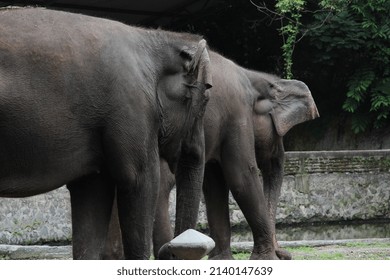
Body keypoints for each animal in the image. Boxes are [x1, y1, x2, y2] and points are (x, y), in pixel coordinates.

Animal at [0, 7, 212, 260]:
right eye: (205, 99)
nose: (169, 250)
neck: (152, 37)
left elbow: (92, 192)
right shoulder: (131, 108)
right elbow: (141, 182)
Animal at [102, 49, 318, 260]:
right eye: (278, 134)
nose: (286, 255)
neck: (254, 77)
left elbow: (215, 184)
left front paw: (221, 259)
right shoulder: (237, 116)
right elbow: (241, 176)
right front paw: (265, 259)